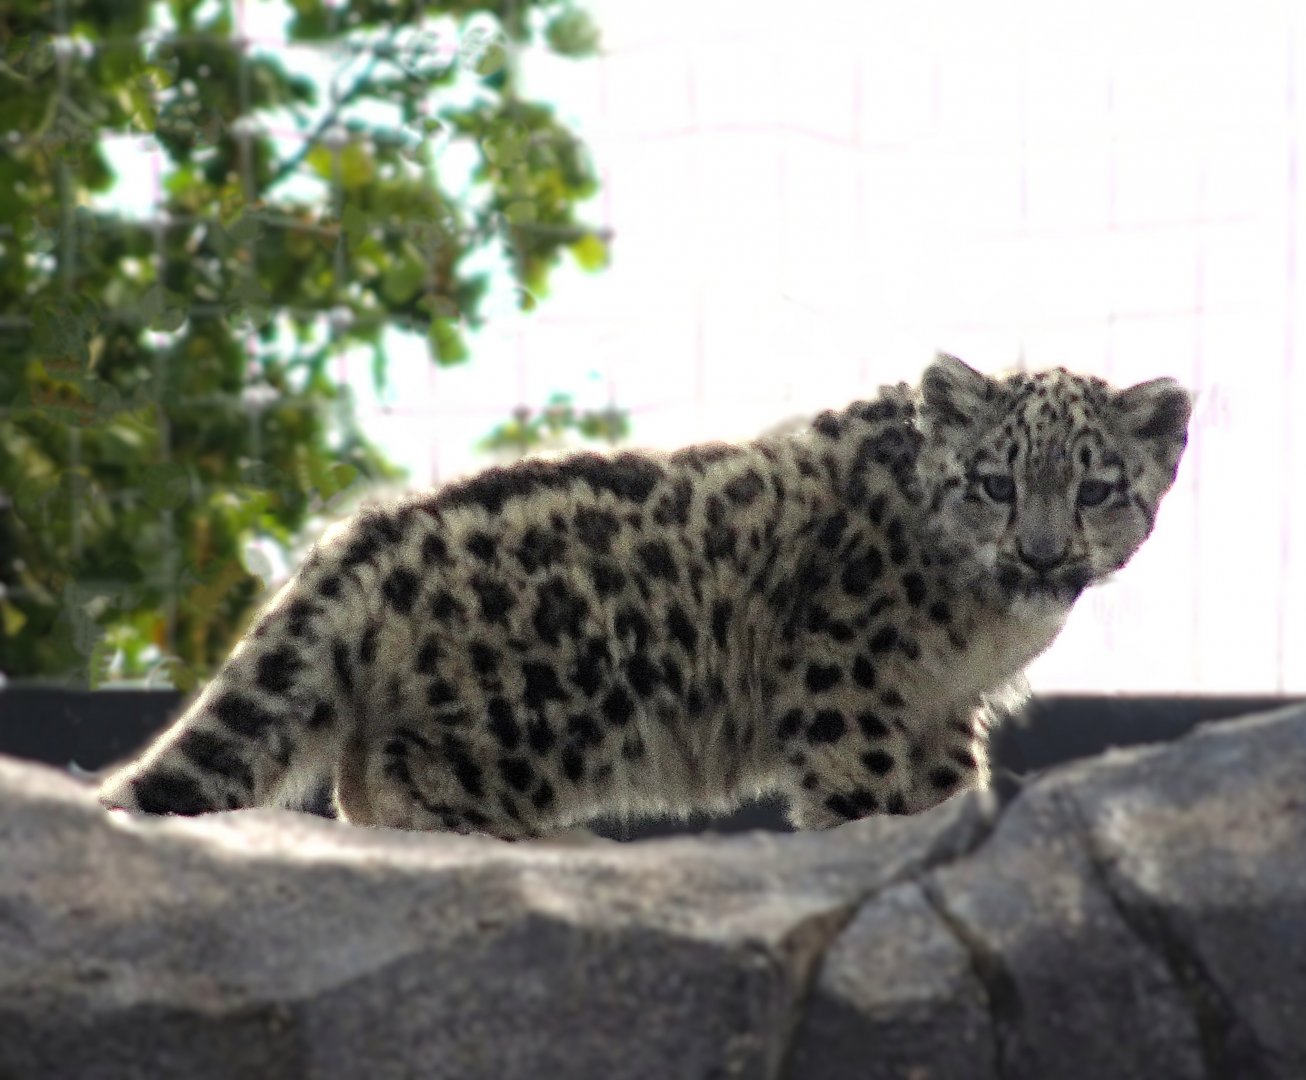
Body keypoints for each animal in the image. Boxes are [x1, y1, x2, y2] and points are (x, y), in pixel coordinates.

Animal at [97, 354, 1192, 836]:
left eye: (1097, 488)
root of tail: (370, 532)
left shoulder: (942, 708)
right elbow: (863, 791)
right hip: (515, 722)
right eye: (995, 483)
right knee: (389, 781)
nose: (1042, 557)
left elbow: (944, 783)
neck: (981, 632)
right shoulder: (852, 681)